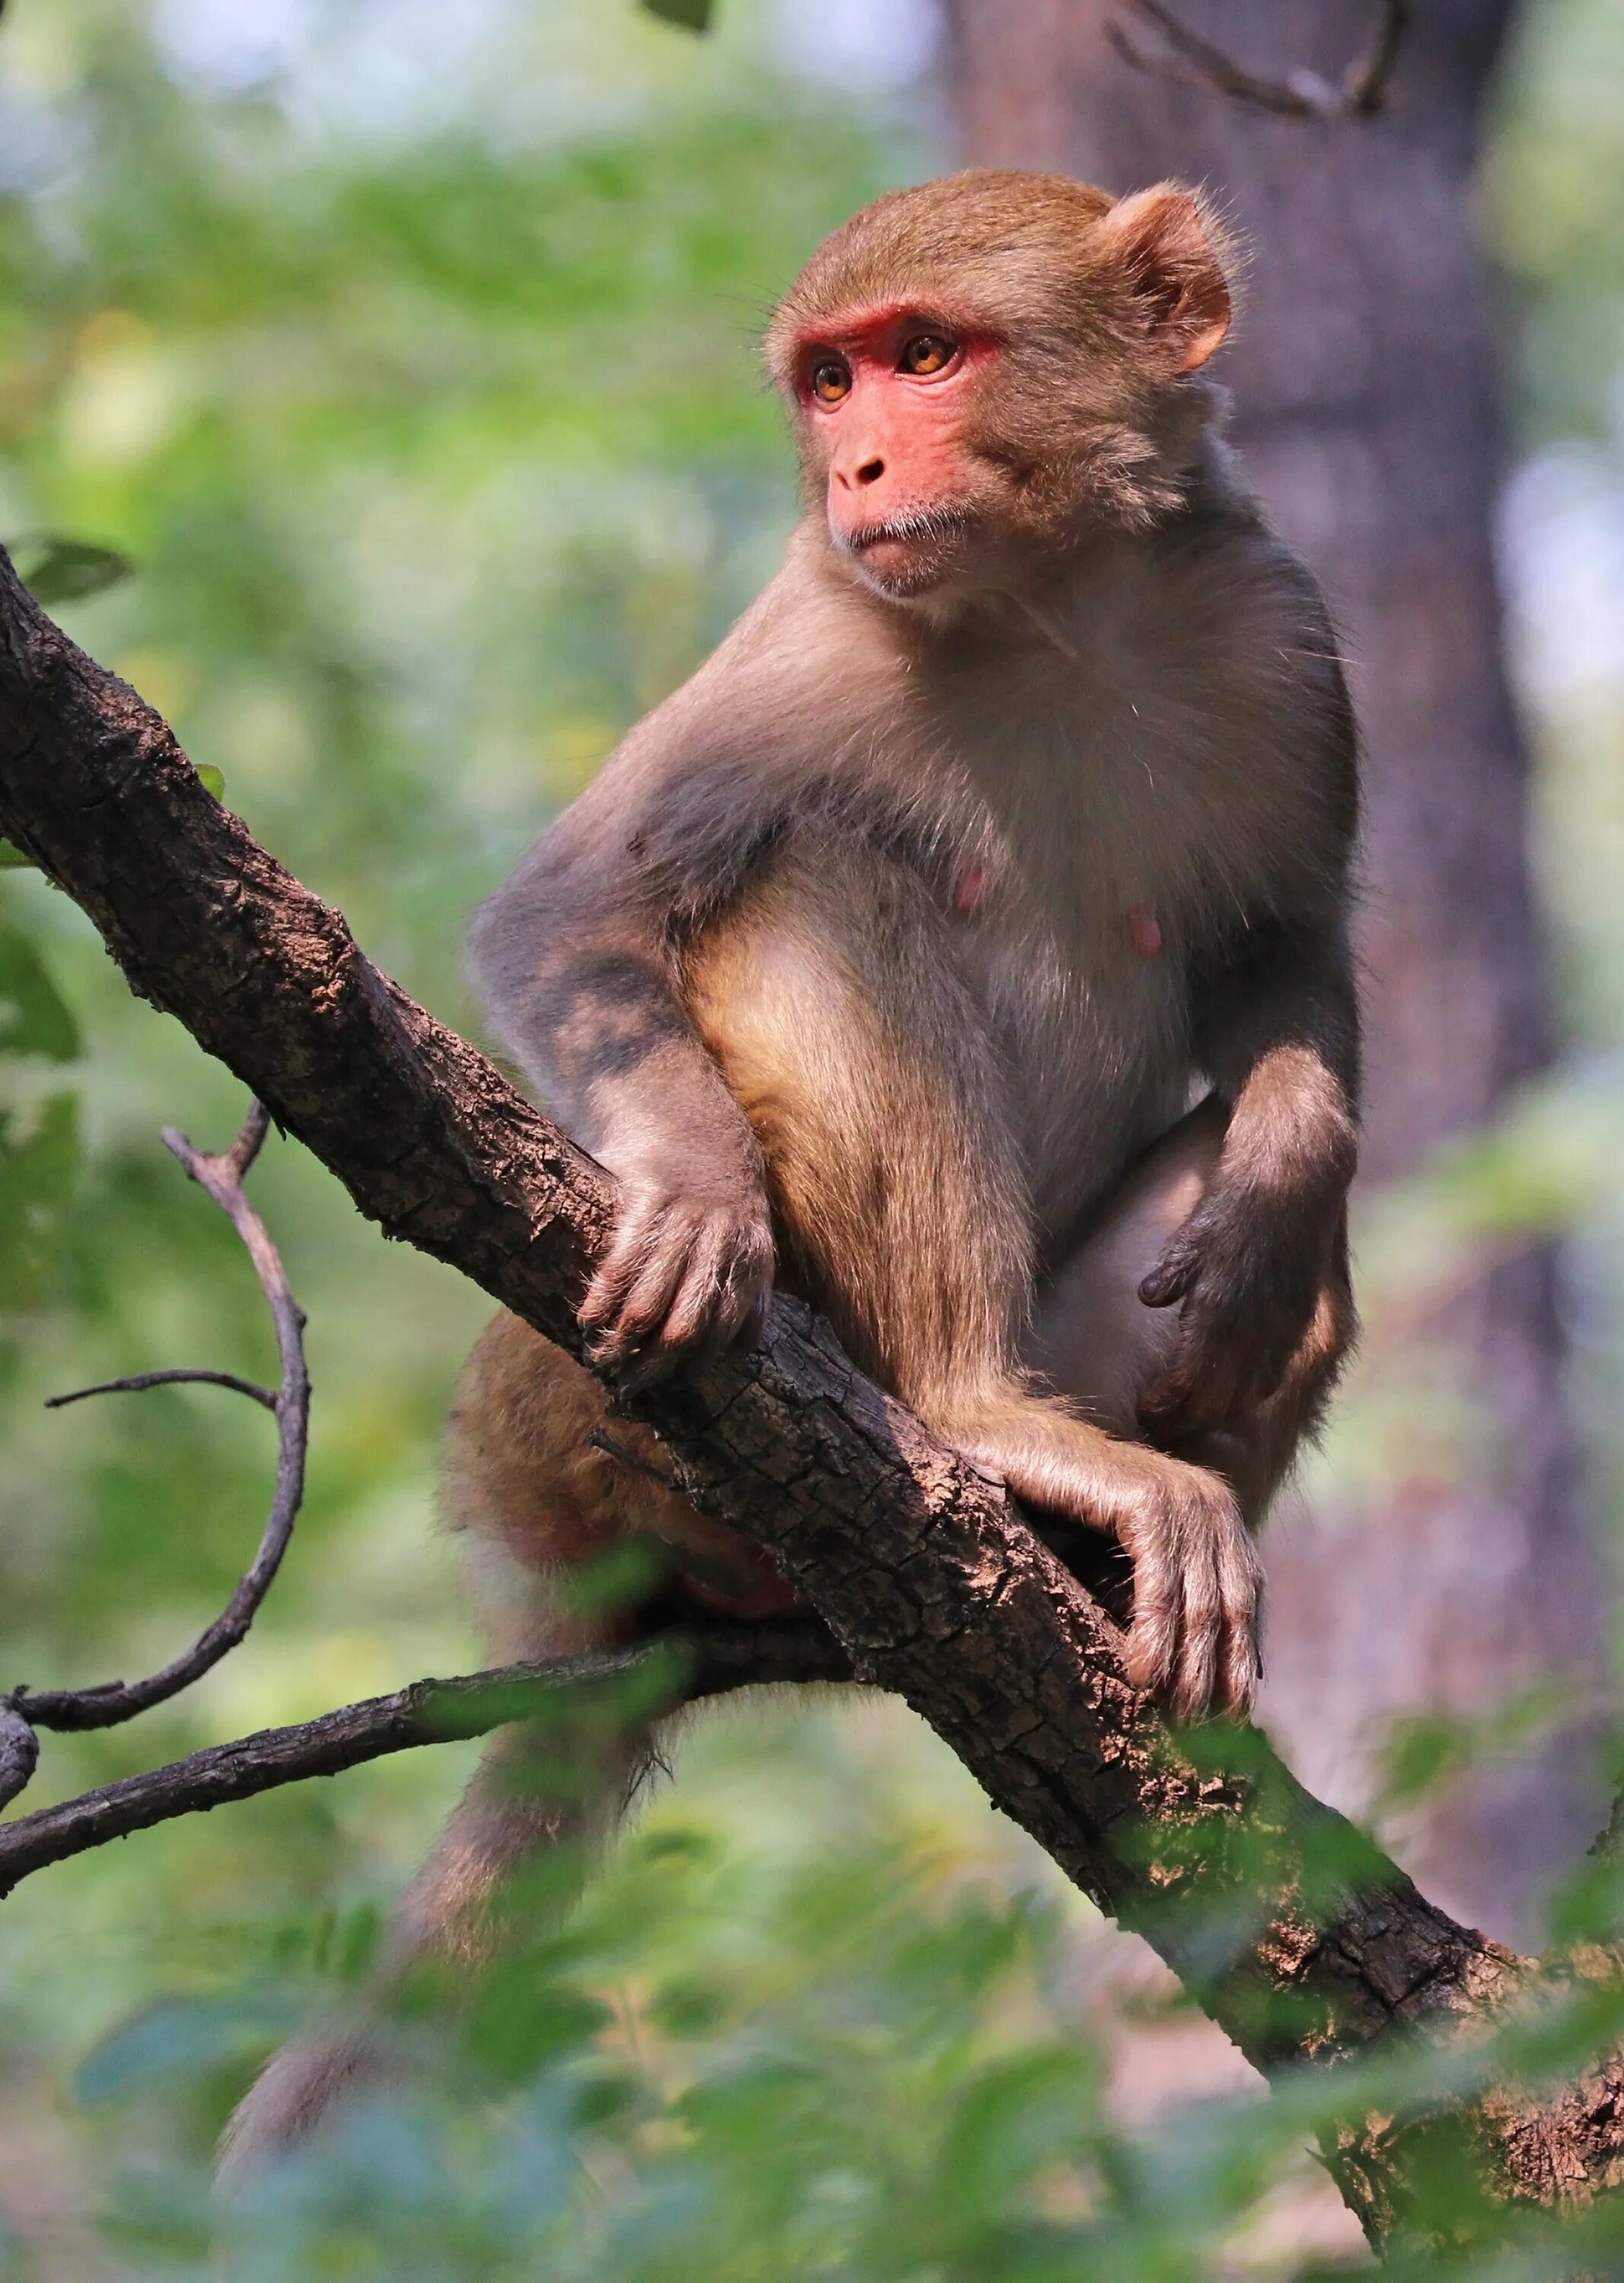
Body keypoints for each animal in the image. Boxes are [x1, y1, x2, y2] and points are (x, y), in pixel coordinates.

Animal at [219, 169, 1361, 2164]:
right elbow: (573, 912)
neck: (1050, 611)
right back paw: (978, 1418)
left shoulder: (1272, 629)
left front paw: (1284, 1167)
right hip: (551, 1427)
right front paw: (687, 1193)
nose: (858, 466)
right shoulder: (806, 646)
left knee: (1290, 1277)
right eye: (829, 381)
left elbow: (1285, 950)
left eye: (926, 353)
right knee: (820, 882)